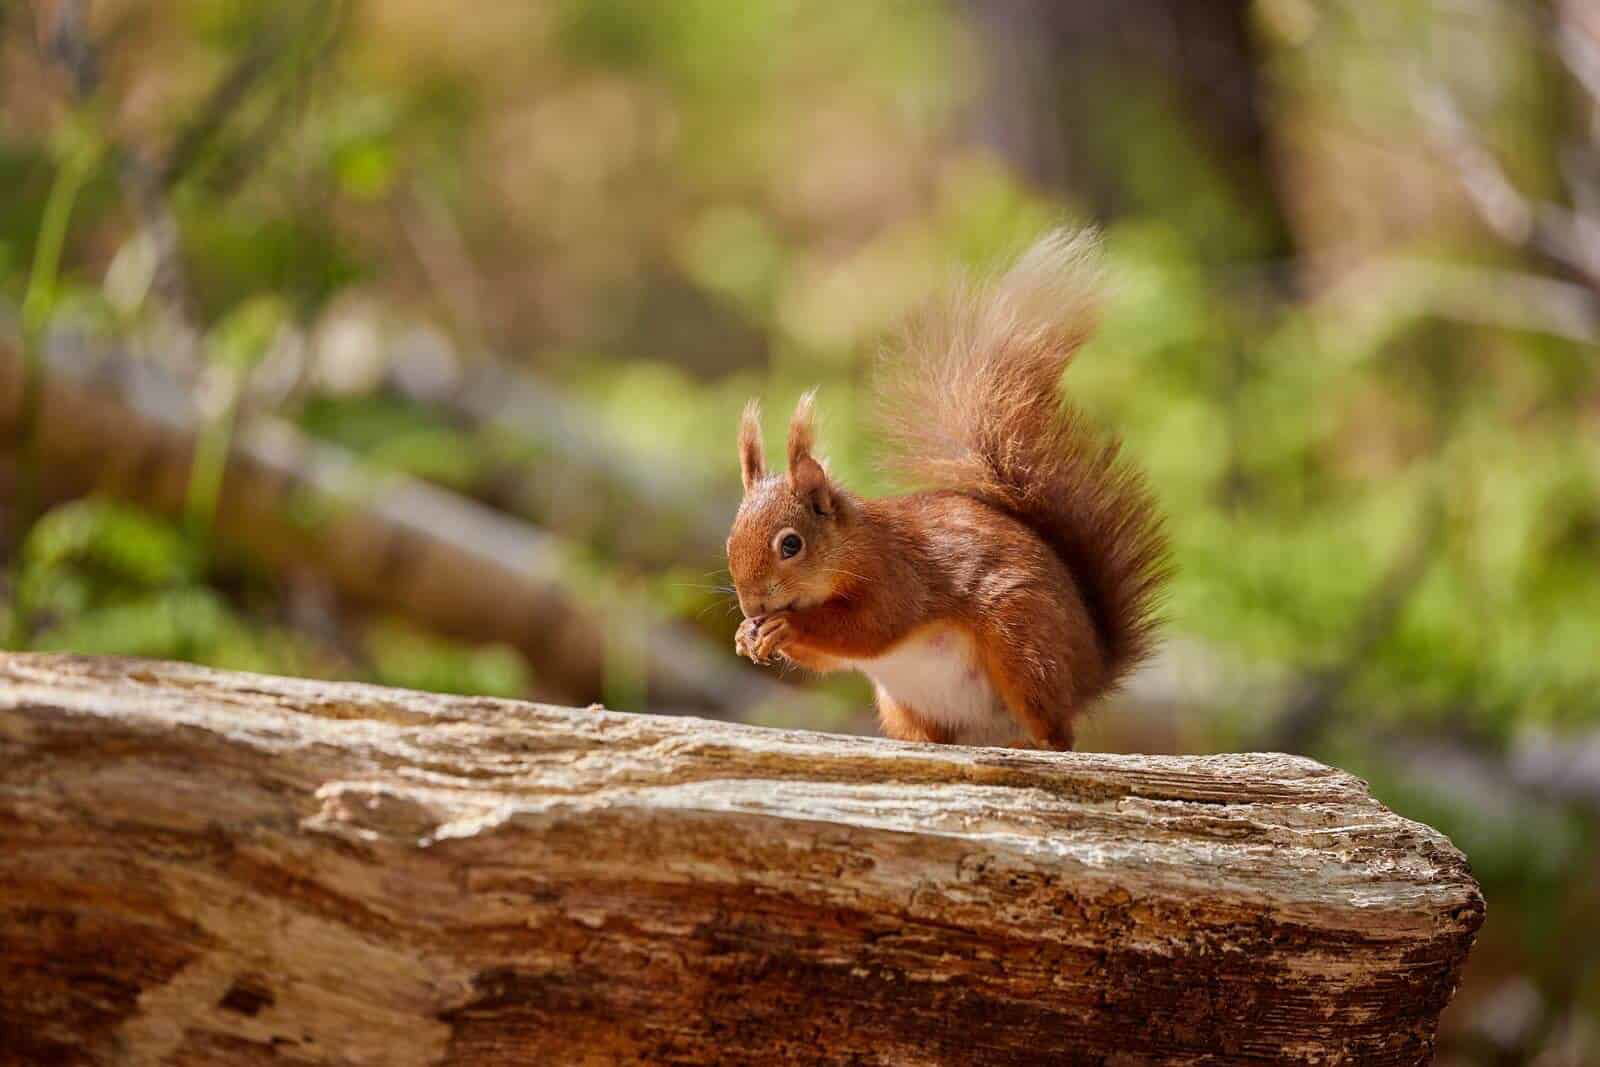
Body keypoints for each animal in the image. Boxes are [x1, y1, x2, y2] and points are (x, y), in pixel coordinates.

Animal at [726, 231, 1164, 751]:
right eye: (729, 542)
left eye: (791, 545)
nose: (753, 606)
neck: (850, 546)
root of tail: (1091, 672)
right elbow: (831, 659)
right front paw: (745, 634)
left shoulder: (894, 575)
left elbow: (869, 628)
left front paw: (787, 626)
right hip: (906, 704)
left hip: (1023, 646)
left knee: (1059, 736)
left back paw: (1031, 744)